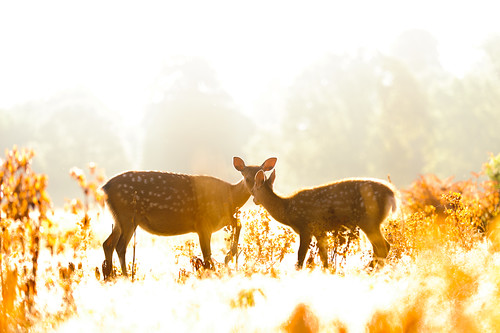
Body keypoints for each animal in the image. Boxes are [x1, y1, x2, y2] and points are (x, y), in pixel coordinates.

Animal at [99, 156, 276, 278]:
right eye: (246, 177)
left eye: (263, 177)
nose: (256, 194)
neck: (230, 196)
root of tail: (104, 188)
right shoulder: (203, 223)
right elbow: (207, 256)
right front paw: (215, 270)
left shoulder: (221, 219)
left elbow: (238, 223)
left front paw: (228, 257)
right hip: (128, 215)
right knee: (120, 246)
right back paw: (126, 276)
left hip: (119, 219)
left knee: (107, 243)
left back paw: (110, 275)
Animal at [233, 157, 398, 268]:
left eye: (254, 188)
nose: (254, 200)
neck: (287, 210)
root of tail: (391, 194)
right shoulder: (320, 230)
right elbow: (324, 258)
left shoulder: (306, 226)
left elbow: (300, 257)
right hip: (371, 222)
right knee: (381, 247)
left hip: (369, 219)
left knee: (383, 247)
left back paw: (367, 270)